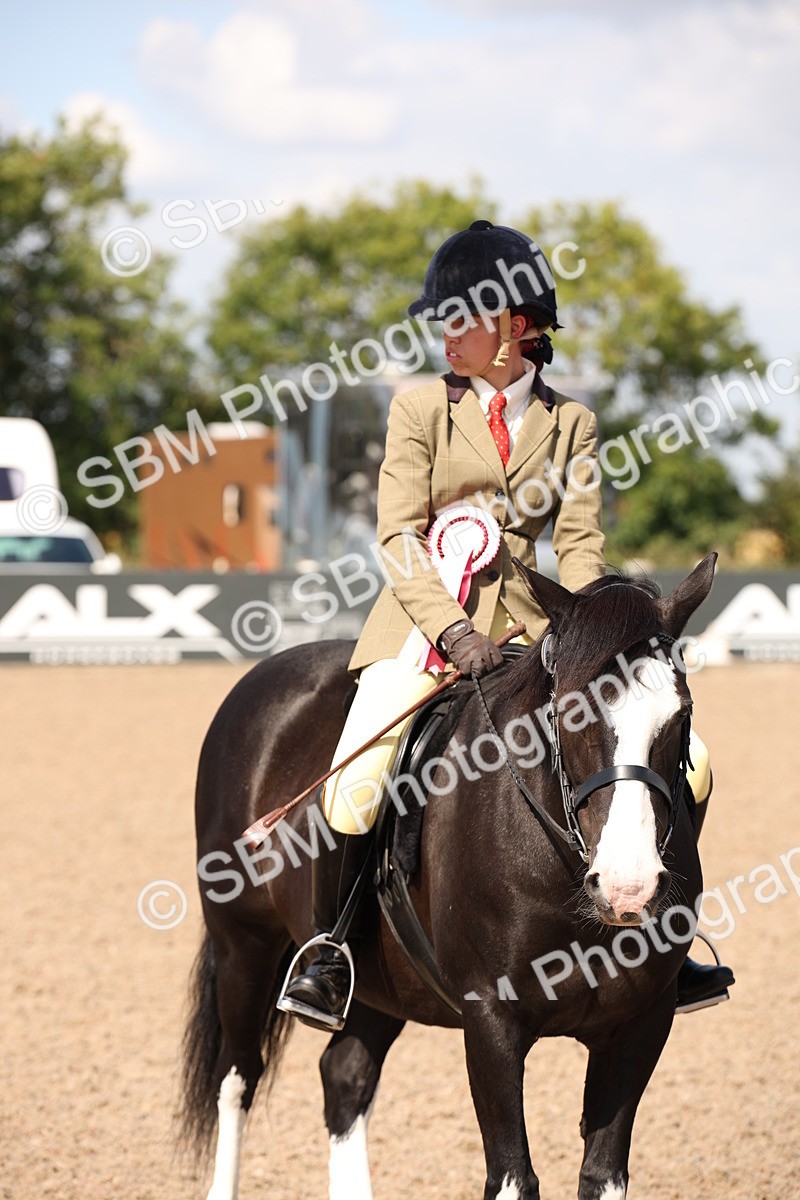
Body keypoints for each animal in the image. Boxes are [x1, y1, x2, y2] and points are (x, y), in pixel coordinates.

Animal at [179, 554, 717, 1200]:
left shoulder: (639, 1025)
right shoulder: (490, 1023)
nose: (627, 888)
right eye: (568, 712)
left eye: (681, 714)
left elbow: (602, 1175)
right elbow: (512, 1177)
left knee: (344, 1076)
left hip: (381, 983)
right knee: (237, 1080)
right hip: (244, 947)